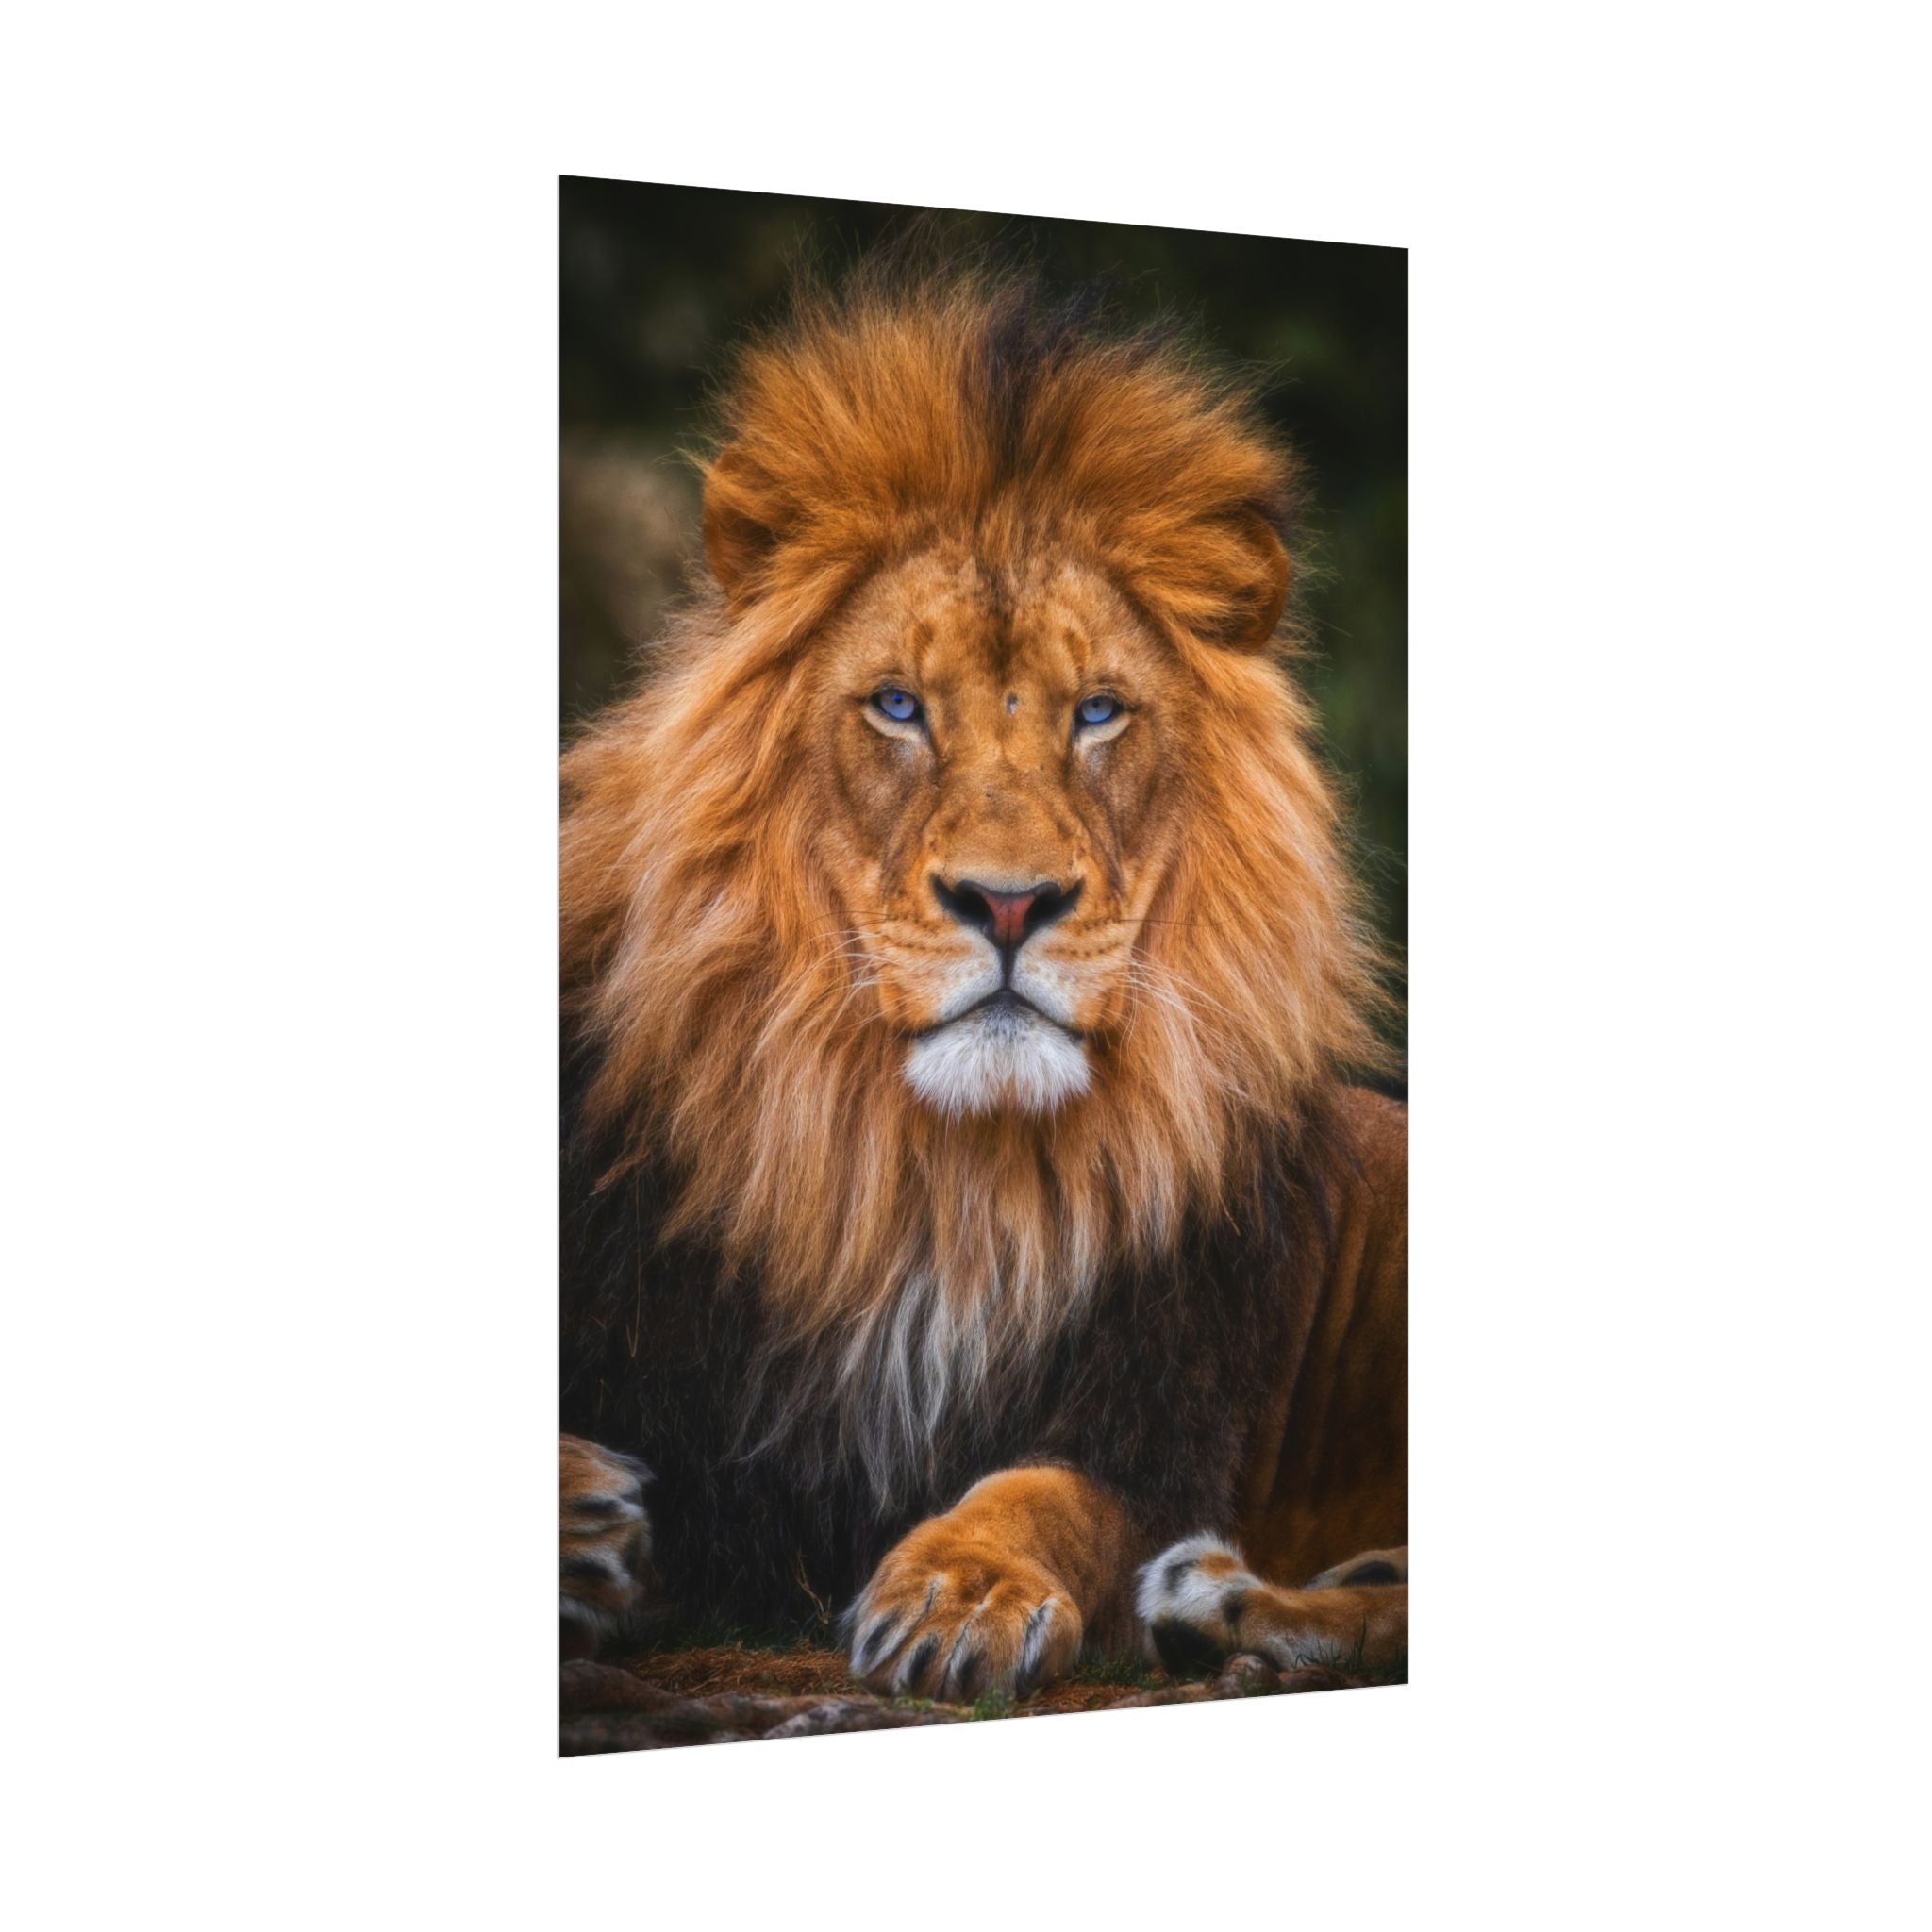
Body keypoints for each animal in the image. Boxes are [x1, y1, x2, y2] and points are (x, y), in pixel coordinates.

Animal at [559, 267, 1407, 1705]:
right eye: (898, 706)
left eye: (1097, 712)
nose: (1008, 904)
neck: (938, 1180)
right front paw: (580, 1520)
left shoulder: (1154, 1423)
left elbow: (1043, 1494)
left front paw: (962, 1590)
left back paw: (1225, 1604)